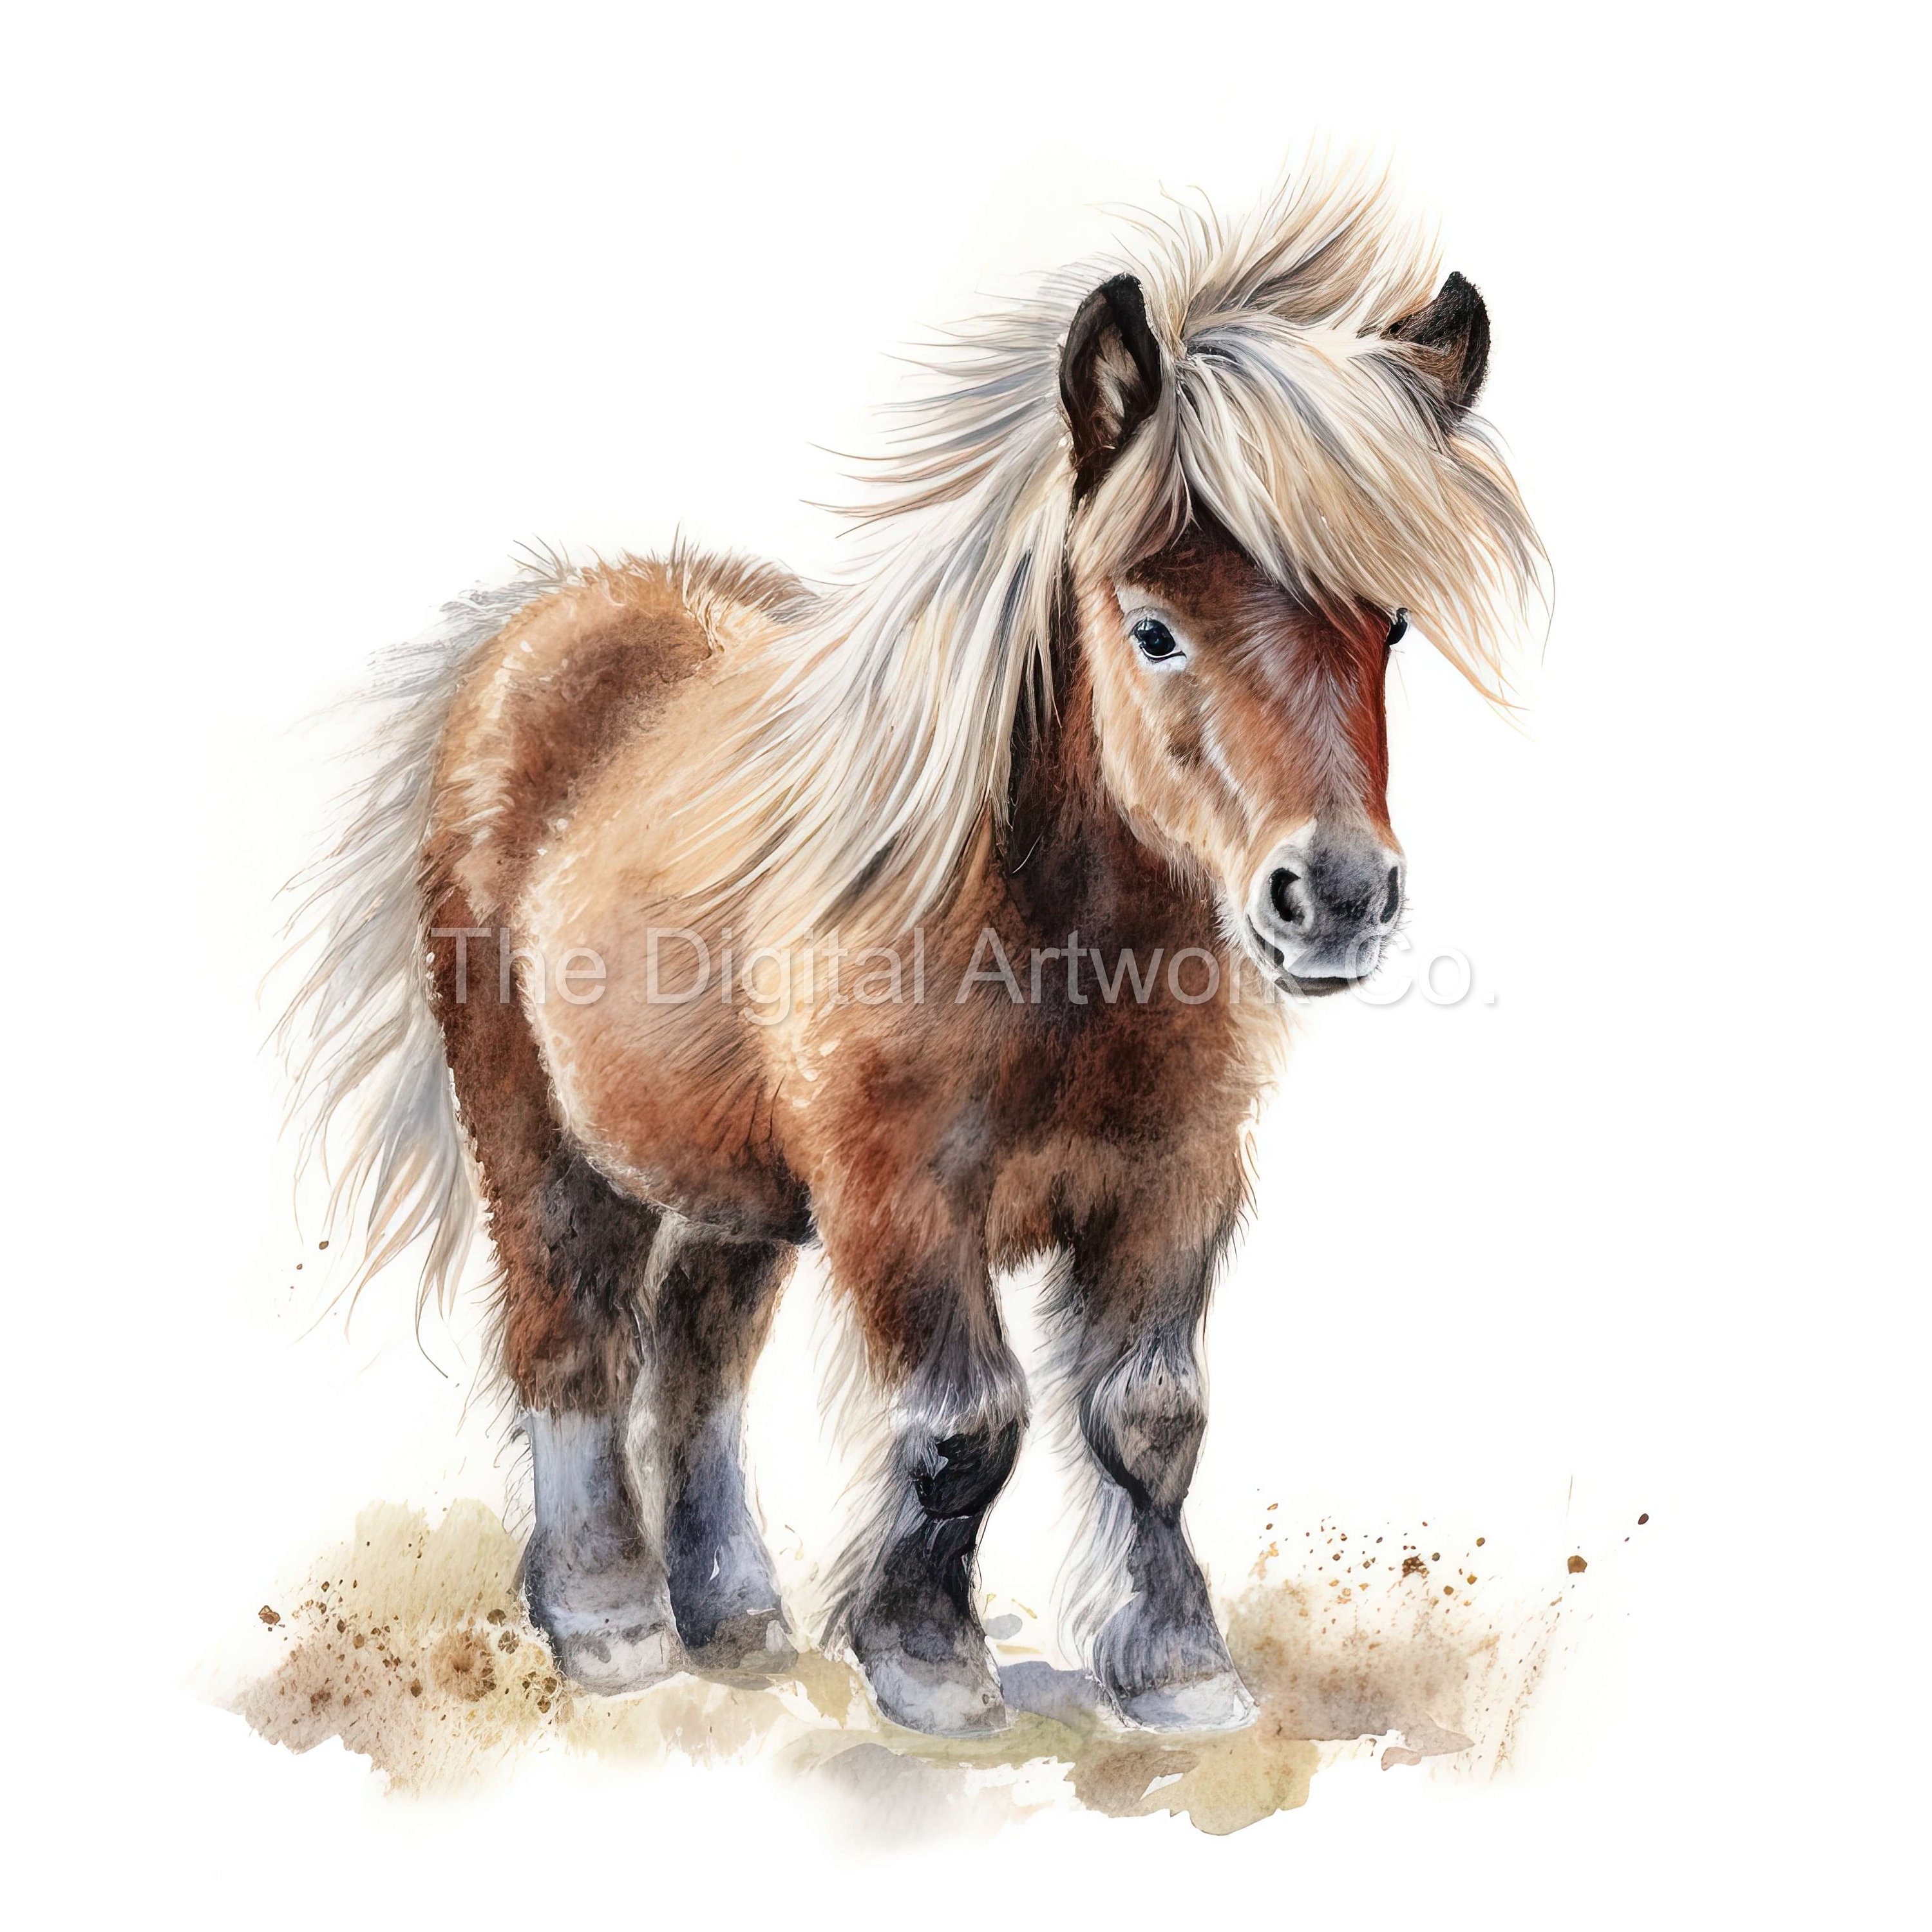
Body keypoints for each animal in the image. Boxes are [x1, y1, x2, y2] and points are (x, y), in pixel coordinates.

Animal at [280, 164, 1543, 1738]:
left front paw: (1179, 1668)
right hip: (538, 1136)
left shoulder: (1176, 1183)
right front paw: (930, 1660)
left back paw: (735, 1616)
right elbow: (966, 1424)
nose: (1339, 894)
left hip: (733, 1185)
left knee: (697, 1364)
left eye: (1394, 624)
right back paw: (610, 1620)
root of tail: (555, 626)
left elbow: (1151, 1418)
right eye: (1153, 630)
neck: (1060, 950)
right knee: (572, 1340)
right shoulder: (903, 1200)